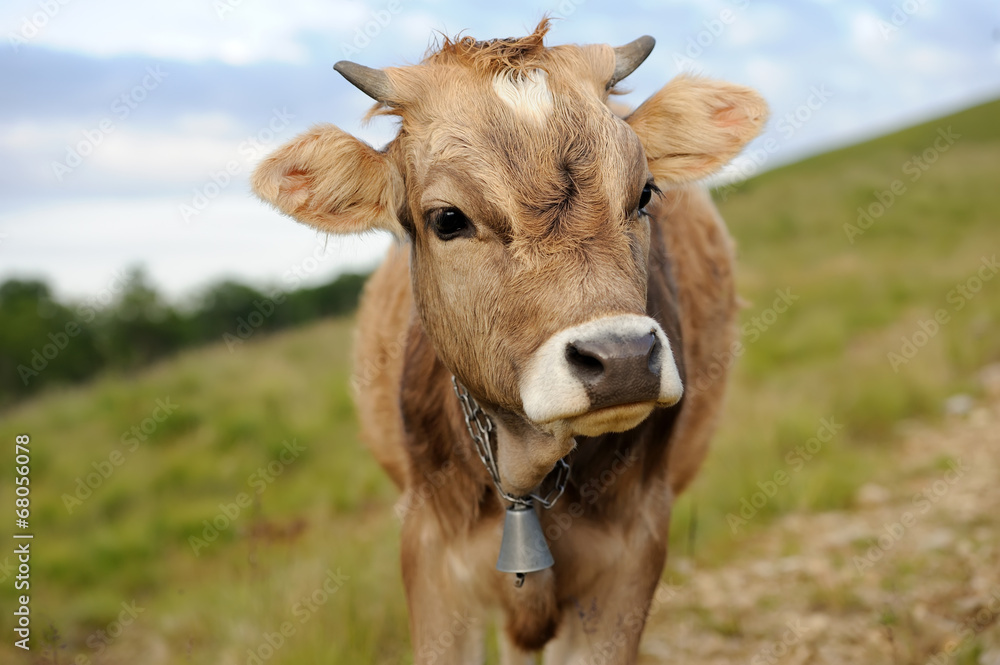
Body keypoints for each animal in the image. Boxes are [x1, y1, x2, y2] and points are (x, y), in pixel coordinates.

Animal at [250, 18, 764, 660]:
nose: (622, 358)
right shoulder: (432, 559)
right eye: (447, 219)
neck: (524, 476)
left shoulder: (632, 553)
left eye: (646, 193)